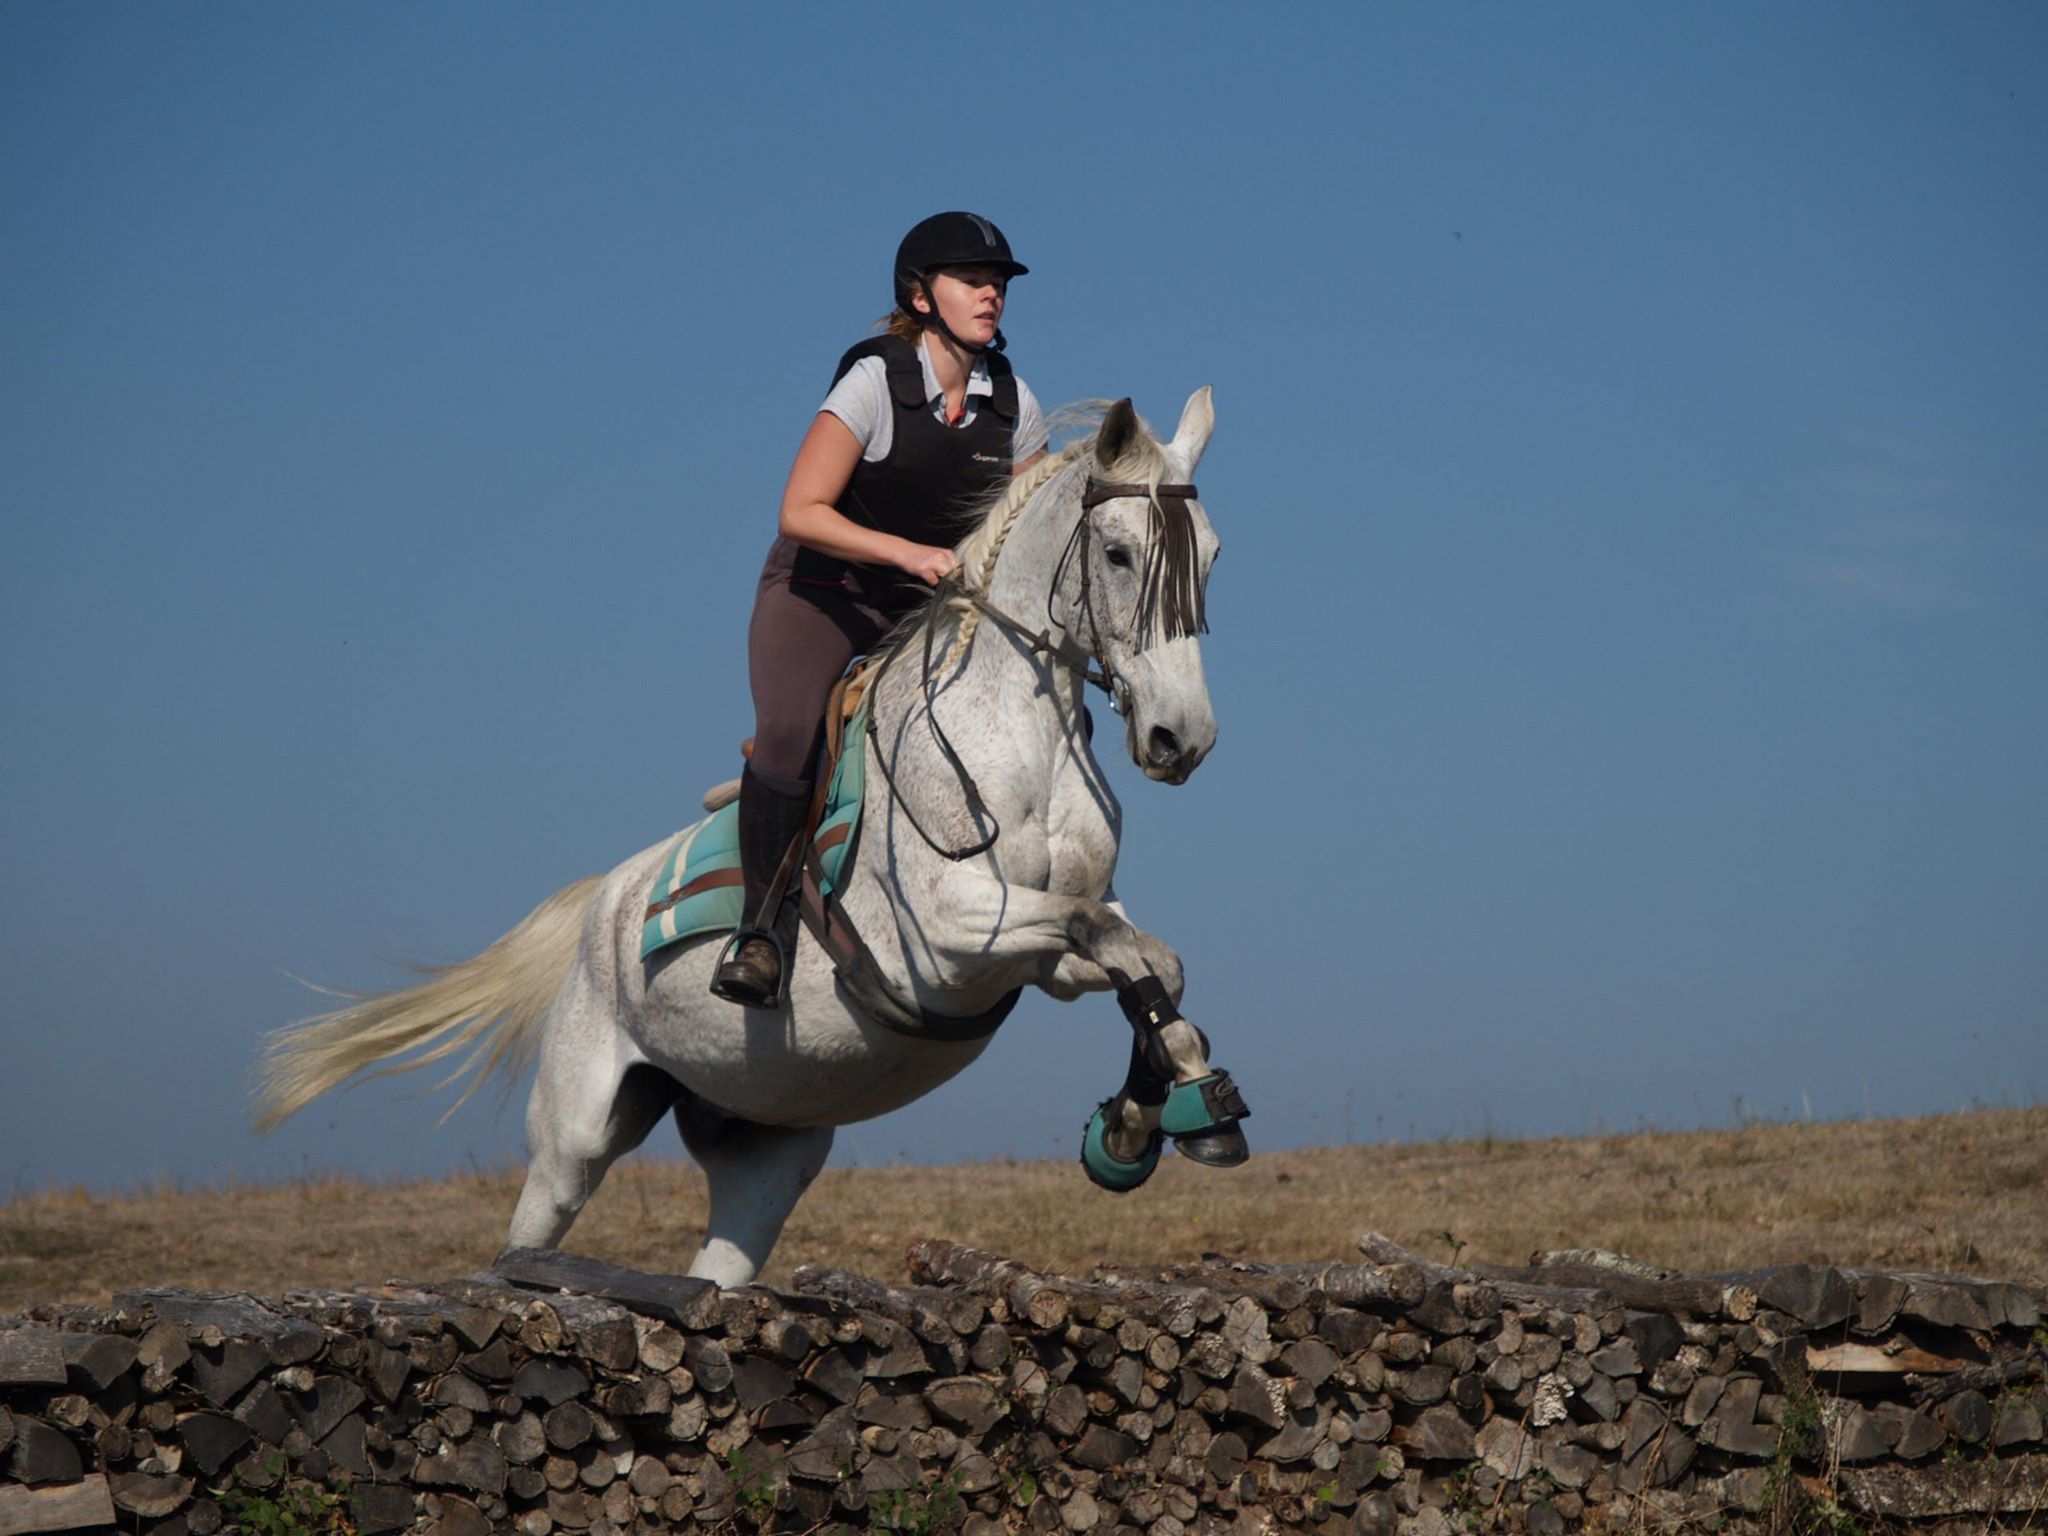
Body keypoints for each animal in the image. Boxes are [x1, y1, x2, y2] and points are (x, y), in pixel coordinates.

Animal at [256, 391, 1245, 1294]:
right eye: (1117, 553)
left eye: (1211, 557)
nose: (1183, 740)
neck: (1019, 737)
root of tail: (601, 901)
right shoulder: (949, 936)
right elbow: (1115, 942)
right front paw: (1162, 1114)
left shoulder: (1041, 954)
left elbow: (1148, 959)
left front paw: (1154, 1117)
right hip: (577, 1129)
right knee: (536, 1221)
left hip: (767, 1147)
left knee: (724, 1257)